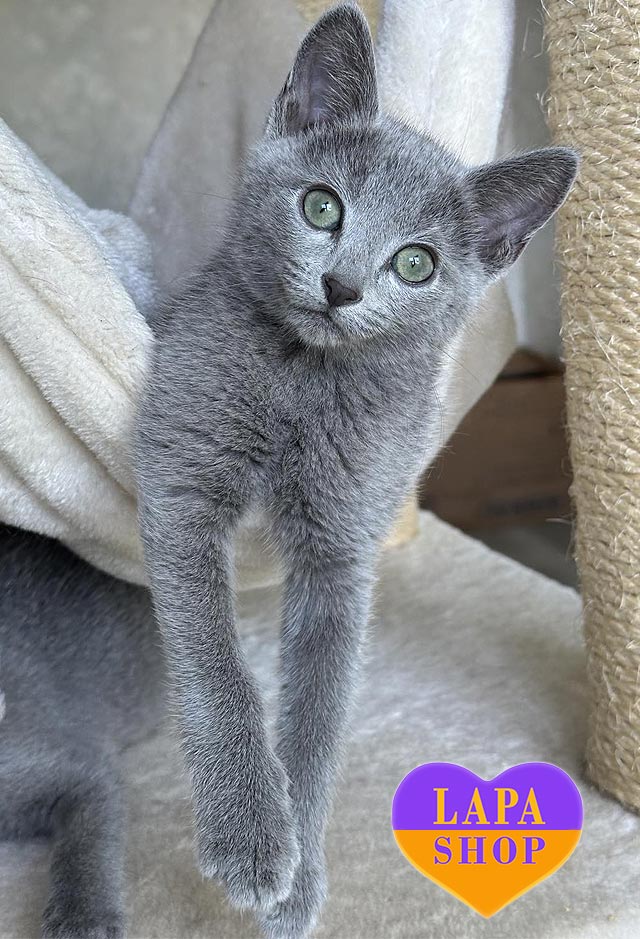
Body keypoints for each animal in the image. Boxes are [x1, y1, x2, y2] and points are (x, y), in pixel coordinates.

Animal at [135, 3, 578, 939]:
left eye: (416, 262)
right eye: (320, 205)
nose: (340, 286)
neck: (306, 381)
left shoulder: (343, 546)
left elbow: (320, 713)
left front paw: (296, 876)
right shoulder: (183, 463)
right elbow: (219, 660)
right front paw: (251, 834)